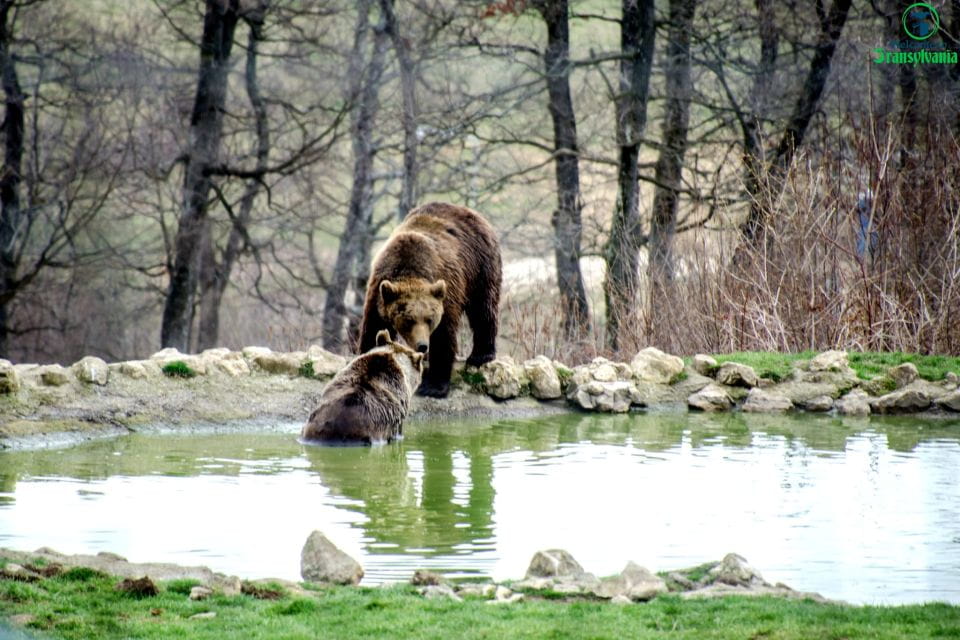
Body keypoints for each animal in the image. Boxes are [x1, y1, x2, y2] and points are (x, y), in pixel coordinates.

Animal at [357, 202, 502, 398]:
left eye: (430, 319)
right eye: (408, 320)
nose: (422, 346)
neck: (410, 269)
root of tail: (472, 213)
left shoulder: (446, 291)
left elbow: (444, 335)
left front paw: (433, 385)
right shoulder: (379, 289)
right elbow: (374, 326)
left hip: (480, 266)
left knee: (483, 307)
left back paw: (481, 355)